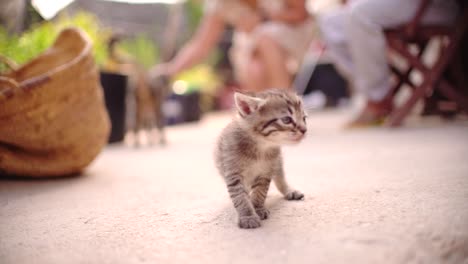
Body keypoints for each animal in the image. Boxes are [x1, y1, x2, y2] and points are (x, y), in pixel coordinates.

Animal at [216, 89, 308, 229]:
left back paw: (289, 191)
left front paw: (258, 208)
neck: (260, 147)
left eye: (304, 118)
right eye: (286, 119)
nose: (304, 130)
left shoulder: (266, 172)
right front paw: (247, 216)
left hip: (277, 162)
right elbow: (240, 196)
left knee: (280, 178)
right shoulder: (233, 173)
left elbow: (260, 192)